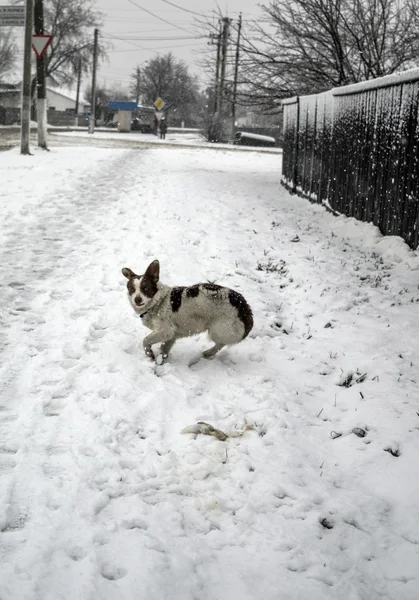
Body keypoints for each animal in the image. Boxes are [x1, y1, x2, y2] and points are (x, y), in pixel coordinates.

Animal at [120, 258, 253, 360]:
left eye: (145, 288)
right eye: (131, 289)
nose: (137, 299)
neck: (158, 301)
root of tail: (244, 307)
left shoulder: (165, 330)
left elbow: (145, 340)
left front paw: (150, 354)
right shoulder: (171, 335)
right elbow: (164, 348)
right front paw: (161, 360)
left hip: (217, 330)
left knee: (221, 343)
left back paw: (208, 352)